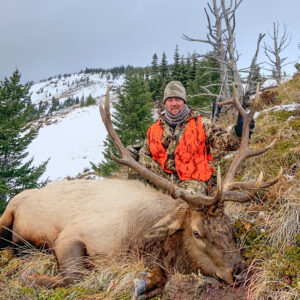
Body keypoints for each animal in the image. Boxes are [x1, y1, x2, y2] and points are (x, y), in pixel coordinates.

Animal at [0, 84, 282, 298]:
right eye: (197, 233)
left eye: (230, 227)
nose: (240, 271)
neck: (136, 237)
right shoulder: (70, 237)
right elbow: (75, 278)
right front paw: (31, 276)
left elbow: (160, 275)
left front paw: (143, 282)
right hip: (8, 213)